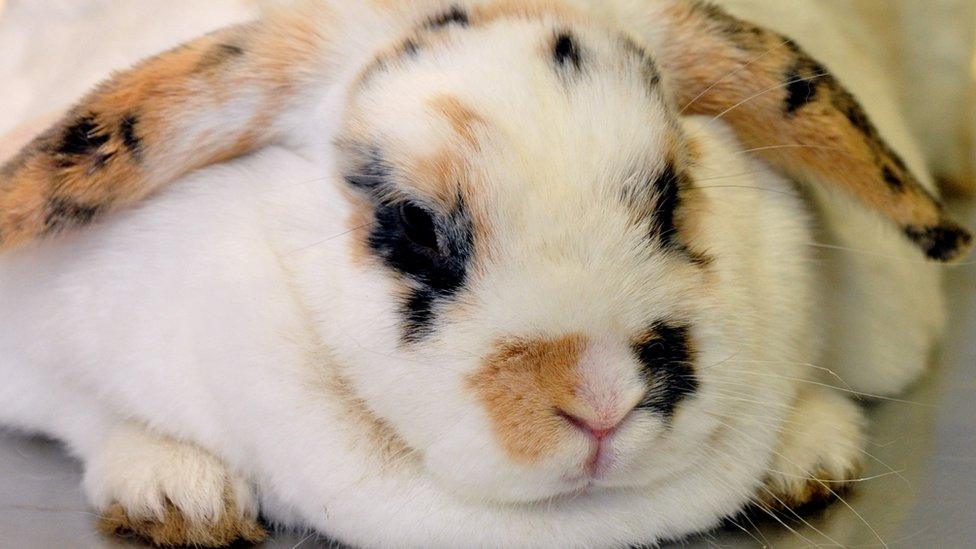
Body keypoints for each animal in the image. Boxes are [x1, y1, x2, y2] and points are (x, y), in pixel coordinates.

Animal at [0, 0, 969, 547]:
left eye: (669, 196)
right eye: (413, 227)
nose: (599, 400)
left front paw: (805, 454)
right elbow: (96, 413)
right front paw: (176, 492)